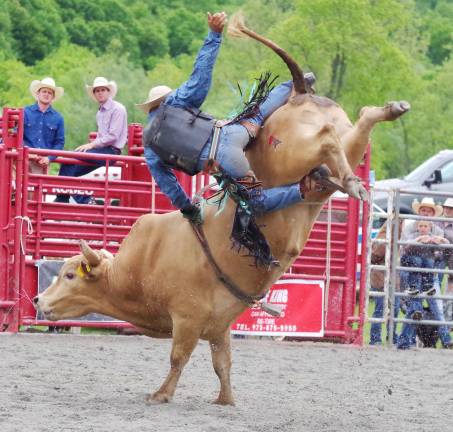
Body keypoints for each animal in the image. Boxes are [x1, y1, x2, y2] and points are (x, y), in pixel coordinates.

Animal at [33, 13, 408, 404]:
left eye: (70, 275)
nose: (38, 300)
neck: (138, 268)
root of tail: (300, 95)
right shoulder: (218, 325)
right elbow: (222, 363)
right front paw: (225, 400)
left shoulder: (187, 318)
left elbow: (178, 357)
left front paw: (161, 394)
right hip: (345, 141)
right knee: (354, 129)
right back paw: (365, 140)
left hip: (296, 148)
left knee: (324, 140)